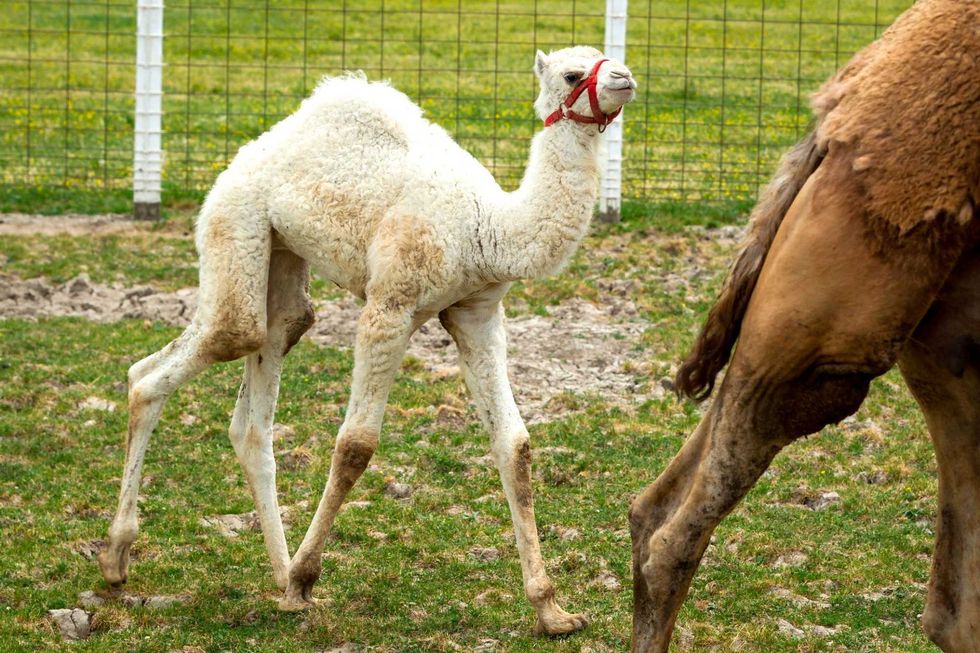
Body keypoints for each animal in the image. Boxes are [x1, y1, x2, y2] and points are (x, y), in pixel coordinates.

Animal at [97, 46, 635, 635]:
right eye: (571, 73)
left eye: (609, 58)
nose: (625, 79)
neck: (487, 228)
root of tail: (247, 155)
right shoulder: (390, 307)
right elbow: (356, 445)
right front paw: (307, 578)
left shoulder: (477, 313)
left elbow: (513, 444)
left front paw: (552, 610)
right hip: (234, 227)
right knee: (168, 366)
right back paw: (120, 560)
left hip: (283, 266)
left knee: (257, 402)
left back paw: (278, 573)